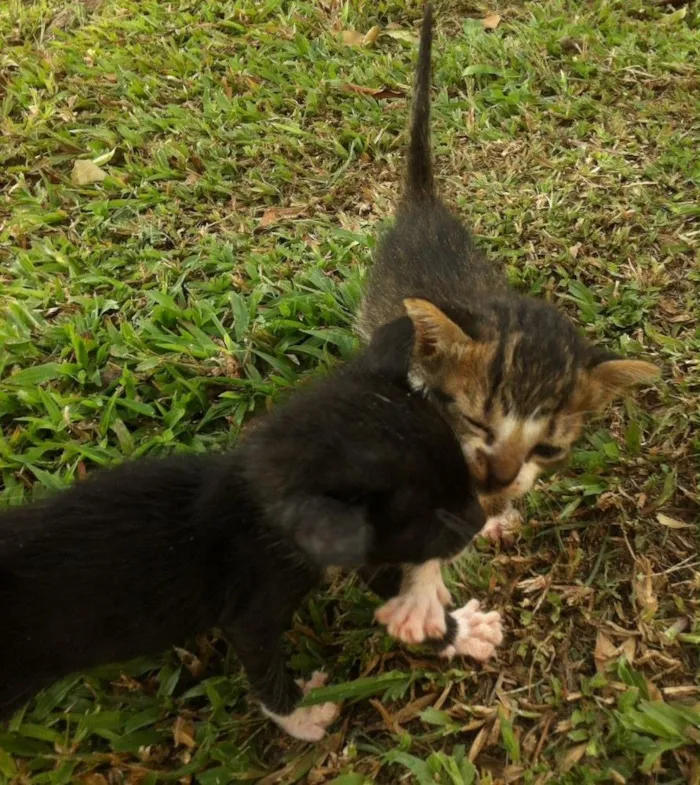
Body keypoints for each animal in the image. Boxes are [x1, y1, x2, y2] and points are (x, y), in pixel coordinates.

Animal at [1, 316, 492, 740]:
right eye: (430, 520)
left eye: (465, 481)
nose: (480, 521)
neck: (252, 491)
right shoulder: (257, 595)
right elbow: (260, 660)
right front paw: (301, 717)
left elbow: (387, 580)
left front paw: (459, 633)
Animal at [358, 4, 660, 644]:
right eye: (476, 419)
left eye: (547, 448)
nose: (497, 480)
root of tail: (424, 205)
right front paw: (423, 595)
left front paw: (492, 517)